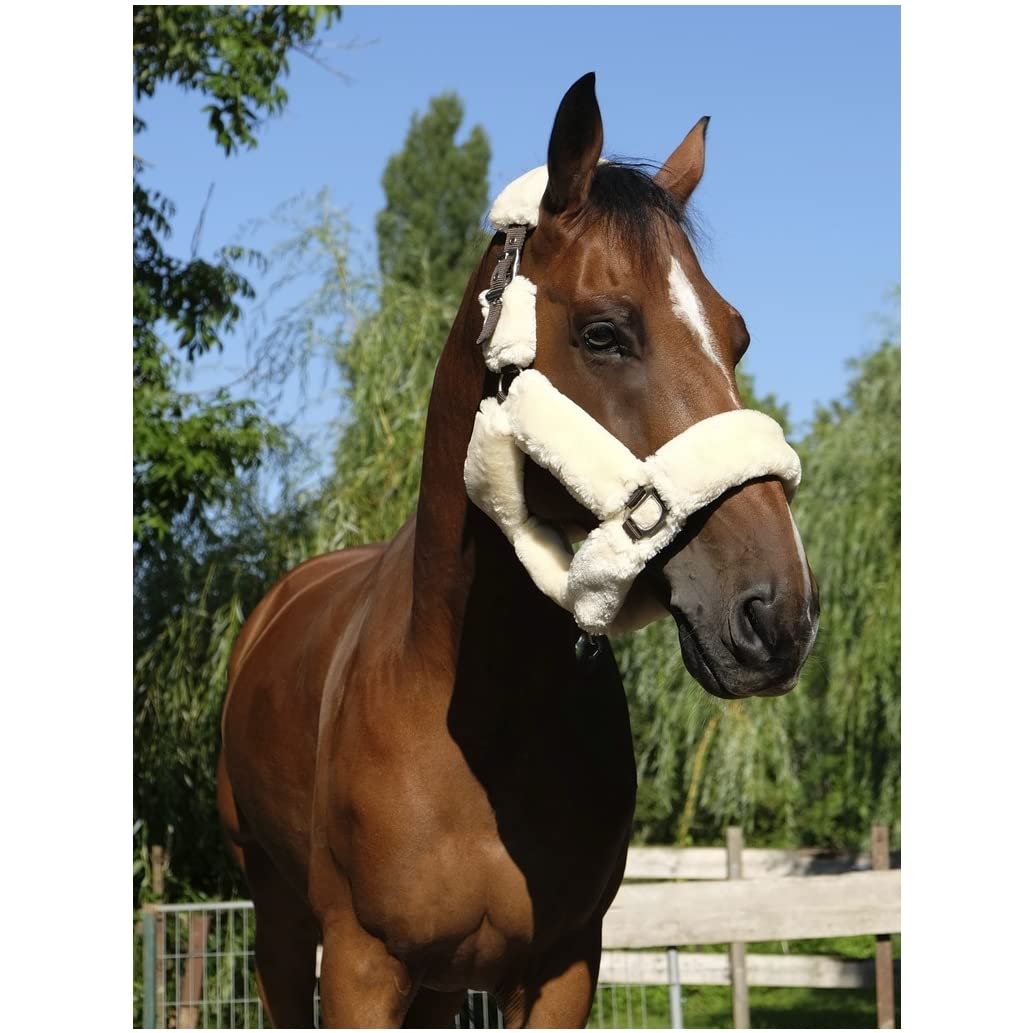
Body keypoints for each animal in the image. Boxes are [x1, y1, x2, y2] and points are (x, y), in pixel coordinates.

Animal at [218, 72, 819, 1028]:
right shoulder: (356, 966)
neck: (476, 715)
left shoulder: (563, 965)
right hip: (277, 918)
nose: (776, 614)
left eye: (737, 335)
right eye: (604, 332)